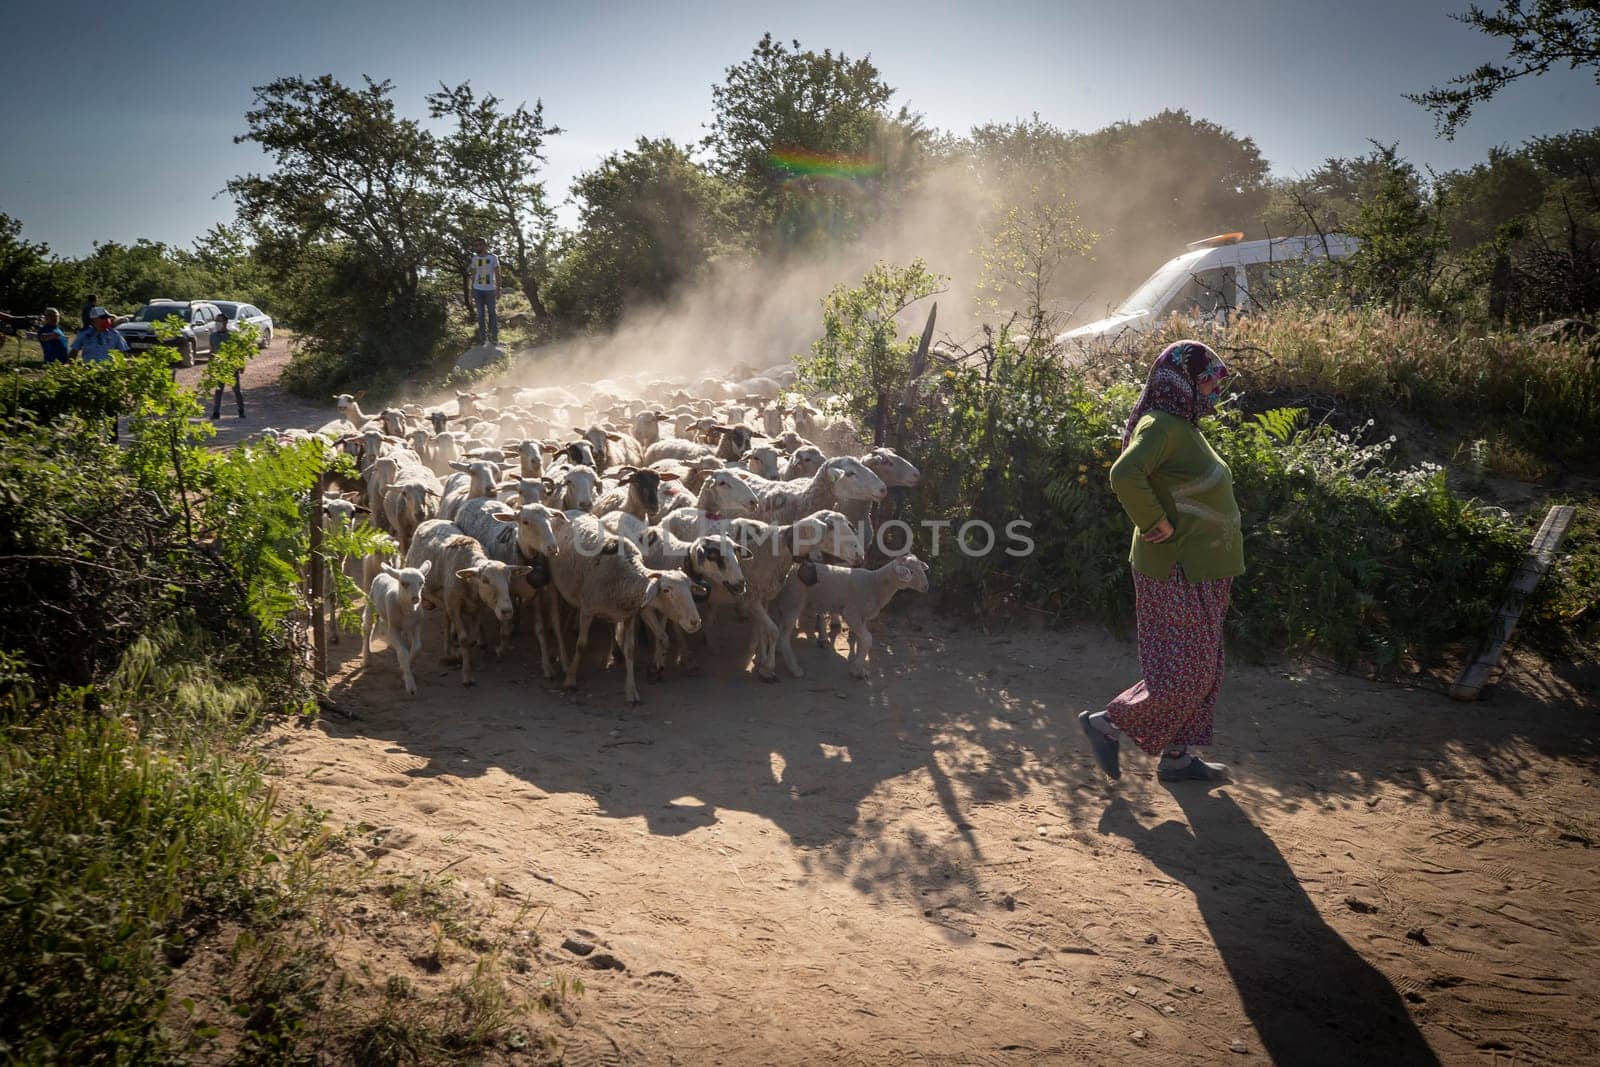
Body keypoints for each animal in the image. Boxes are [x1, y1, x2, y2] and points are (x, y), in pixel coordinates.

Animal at [363, 563, 432, 697]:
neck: (407, 610)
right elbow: (403, 653)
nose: (416, 599)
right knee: (367, 628)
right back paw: (367, 658)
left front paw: (404, 669)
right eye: (404, 583)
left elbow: (417, 648)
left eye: (422, 583)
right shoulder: (394, 629)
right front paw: (410, 684)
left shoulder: (416, 625)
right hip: (371, 603)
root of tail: (385, 573)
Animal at [771, 556, 934, 681]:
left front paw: (860, 669)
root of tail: (789, 569)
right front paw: (855, 669)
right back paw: (794, 667)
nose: (926, 586)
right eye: (910, 571)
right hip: (793, 601)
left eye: (921, 568)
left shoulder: (862, 617)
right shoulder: (851, 613)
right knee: (784, 635)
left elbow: (862, 642)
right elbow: (868, 639)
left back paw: (778, 651)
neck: (874, 584)